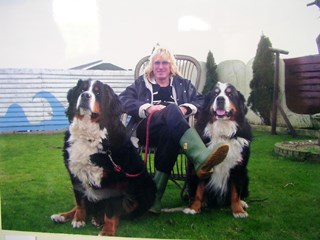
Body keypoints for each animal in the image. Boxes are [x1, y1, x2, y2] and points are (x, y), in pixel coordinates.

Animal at [51, 79, 156, 236]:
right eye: (81, 90)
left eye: (98, 92)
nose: (85, 96)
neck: (88, 135)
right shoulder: (75, 173)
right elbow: (79, 201)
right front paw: (78, 219)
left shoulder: (115, 179)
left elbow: (111, 209)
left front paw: (107, 231)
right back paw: (62, 216)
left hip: (145, 189)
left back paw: (98, 219)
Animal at [185, 82, 252, 218]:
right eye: (215, 94)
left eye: (230, 94)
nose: (220, 99)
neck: (222, 131)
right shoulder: (202, 166)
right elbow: (199, 190)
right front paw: (194, 208)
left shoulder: (238, 167)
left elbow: (235, 192)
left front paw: (238, 210)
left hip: (246, 174)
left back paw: (242, 203)